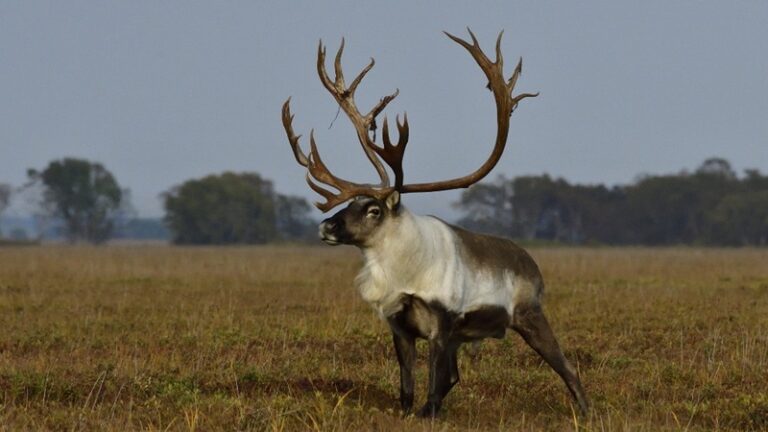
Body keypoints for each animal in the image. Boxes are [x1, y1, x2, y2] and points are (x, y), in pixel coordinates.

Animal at [281, 29, 589, 419]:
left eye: (374, 209)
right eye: (351, 203)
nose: (326, 227)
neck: (404, 271)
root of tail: (531, 263)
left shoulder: (442, 326)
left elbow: (432, 380)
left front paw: (428, 414)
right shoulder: (400, 327)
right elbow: (408, 385)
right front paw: (408, 412)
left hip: (529, 316)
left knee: (567, 367)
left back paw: (587, 411)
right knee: (456, 376)